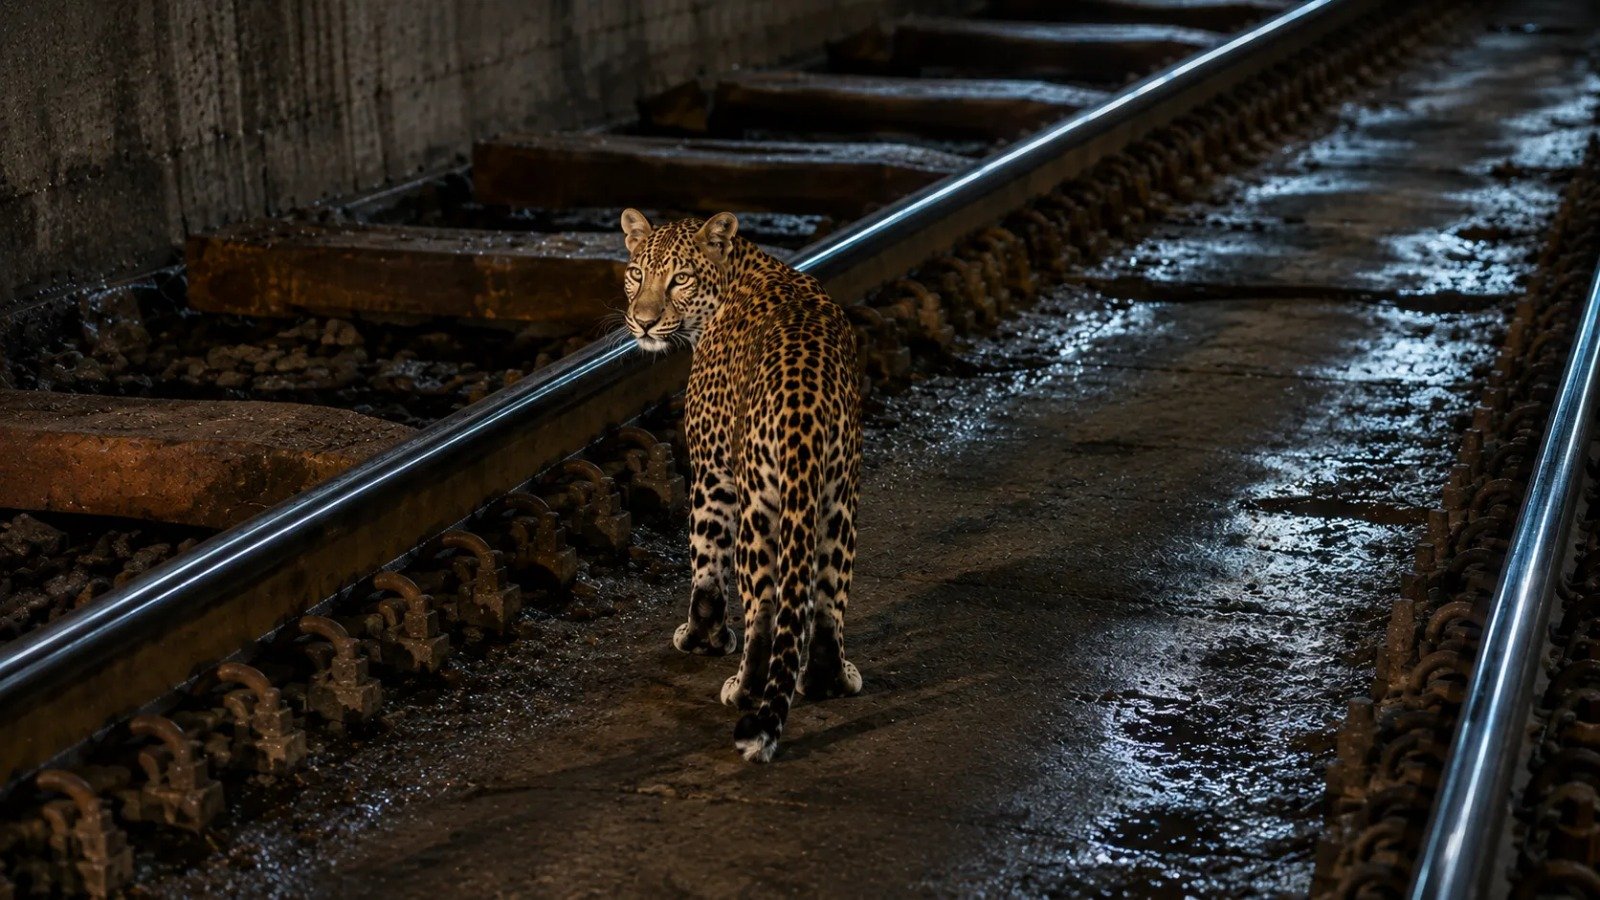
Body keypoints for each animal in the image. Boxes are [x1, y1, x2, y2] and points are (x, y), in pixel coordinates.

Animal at [618, 207, 863, 763]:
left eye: (679, 279)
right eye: (637, 274)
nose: (643, 321)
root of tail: (804, 407)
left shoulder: (712, 470)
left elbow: (705, 563)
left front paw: (700, 637)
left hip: (759, 503)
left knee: (765, 608)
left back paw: (746, 689)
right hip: (838, 496)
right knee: (827, 599)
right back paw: (829, 681)